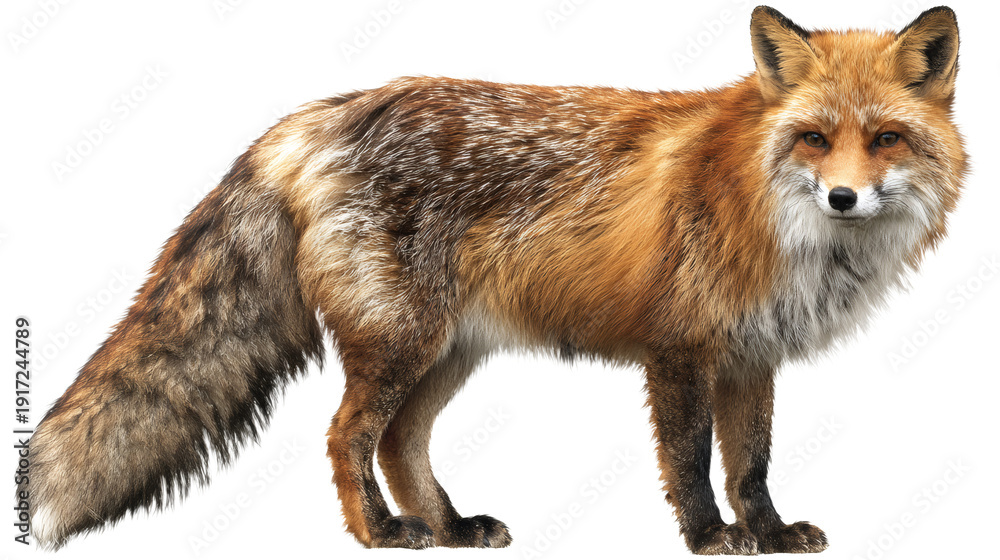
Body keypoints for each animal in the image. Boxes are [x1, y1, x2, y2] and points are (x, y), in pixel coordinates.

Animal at [18, 5, 965, 555]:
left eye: (885, 139)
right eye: (814, 138)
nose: (844, 196)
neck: (777, 222)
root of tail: (312, 118)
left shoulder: (750, 356)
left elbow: (754, 464)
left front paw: (768, 533)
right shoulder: (680, 351)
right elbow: (694, 461)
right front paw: (708, 538)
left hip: (447, 354)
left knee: (400, 442)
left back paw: (448, 526)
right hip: (403, 343)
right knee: (345, 436)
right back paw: (382, 532)